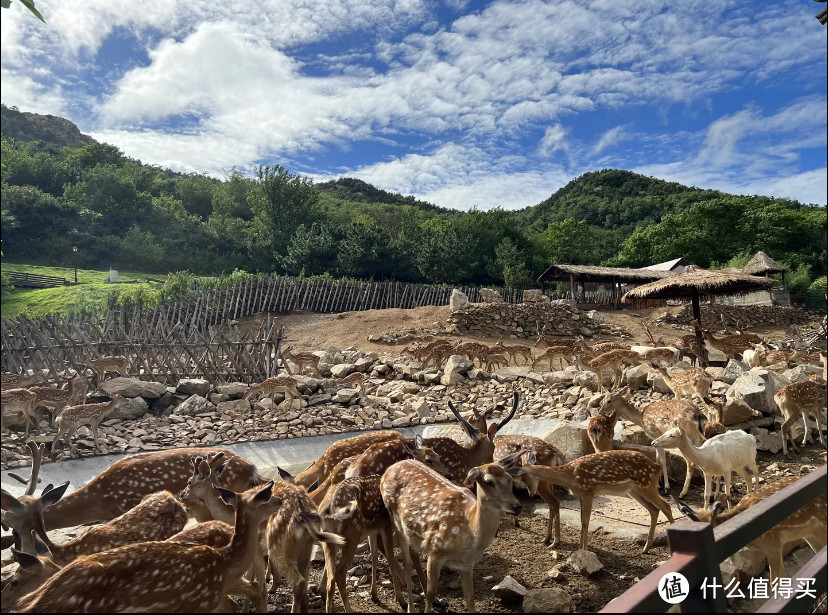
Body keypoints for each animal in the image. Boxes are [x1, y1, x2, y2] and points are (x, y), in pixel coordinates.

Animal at [318, 476, 406, 612]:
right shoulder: (385, 524)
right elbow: (390, 557)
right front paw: (401, 599)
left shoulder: (373, 530)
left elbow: (374, 556)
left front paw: (374, 595)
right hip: (353, 534)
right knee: (339, 574)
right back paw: (349, 610)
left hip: (330, 540)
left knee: (331, 577)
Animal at [382, 452, 524, 615]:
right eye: (489, 482)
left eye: (509, 479)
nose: (517, 506)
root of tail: (387, 471)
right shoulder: (435, 550)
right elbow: (430, 593)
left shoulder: (467, 565)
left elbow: (470, 597)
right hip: (395, 520)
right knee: (405, 563)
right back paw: (409, 607)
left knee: (411, 553)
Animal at [512, 450, 672, 556]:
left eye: (523, 477)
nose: (531, 492)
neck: (570, 476)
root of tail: (657, 467)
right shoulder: (581, 495)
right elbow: (582, 521)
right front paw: (579, 549)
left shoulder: (588, 491)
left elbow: (585, 522)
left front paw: (585, 550)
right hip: (635, 490)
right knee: (654, 510)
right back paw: (646, 548)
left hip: (647, 485)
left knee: (666, 506)